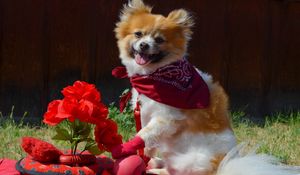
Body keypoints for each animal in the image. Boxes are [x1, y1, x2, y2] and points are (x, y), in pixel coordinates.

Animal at [111, 0, 298, 174]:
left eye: (159, 40)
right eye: (138, 34)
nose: (144, 45)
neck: (154, 76)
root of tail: (221, 168)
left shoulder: (167, 118)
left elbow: (144, 133)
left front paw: (128, 147)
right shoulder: (145, 113)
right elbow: (149, 138)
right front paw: (145, 154)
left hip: (188, 160)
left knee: (177, 172)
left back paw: (154, 169)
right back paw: (154, 163)